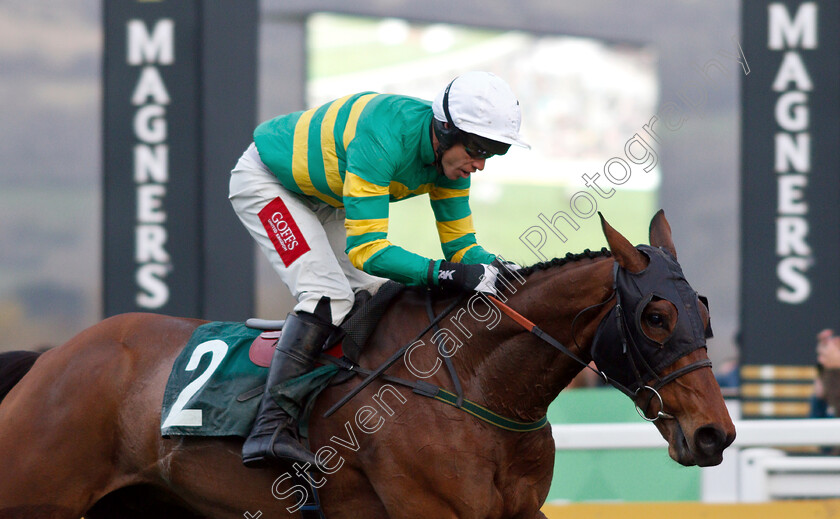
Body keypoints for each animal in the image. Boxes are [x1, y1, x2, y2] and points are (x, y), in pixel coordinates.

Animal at [0, 212, 736, 519]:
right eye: (655, 317)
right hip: (37, 497)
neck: (476, 384)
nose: (715, 434)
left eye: (702, 311)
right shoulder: (430, 510)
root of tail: (49, 359)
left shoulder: (520, 512)